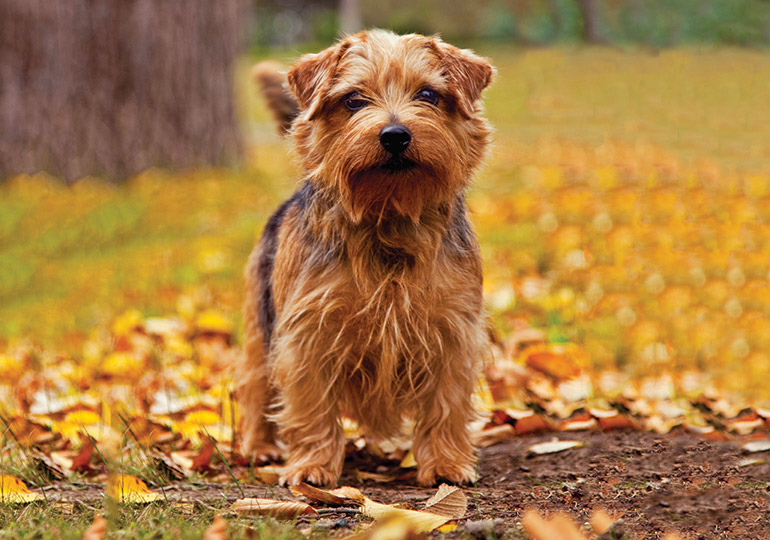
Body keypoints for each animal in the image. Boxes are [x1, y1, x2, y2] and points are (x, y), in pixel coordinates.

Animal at [236, 27, 492, 488]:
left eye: (428, 94)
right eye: (354, 100)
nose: (395, 135)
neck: (388, 212)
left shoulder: (453, 329)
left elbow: (445, 403)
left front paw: (445, 464)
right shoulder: (307, 331)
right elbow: (311, 405)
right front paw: (312, 466)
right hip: (260, 325)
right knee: (256, 384)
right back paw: (261, 446)